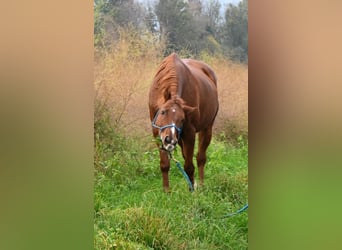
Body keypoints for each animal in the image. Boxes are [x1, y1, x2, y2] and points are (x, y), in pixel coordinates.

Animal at [148, 52, 218, 192]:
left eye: (182, 119)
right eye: (163, 112)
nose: (169, 140)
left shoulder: (189, 133)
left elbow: (189, 166)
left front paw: (192, 191)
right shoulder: (157, 132)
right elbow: (165, 164)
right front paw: (166, 191)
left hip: (206, 129)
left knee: (200, 158)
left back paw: (200, 184)